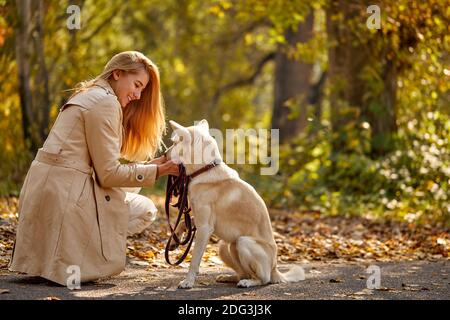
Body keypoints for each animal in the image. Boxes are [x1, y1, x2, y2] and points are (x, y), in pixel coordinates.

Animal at [167, 120, 304, 290]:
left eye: (174, 143)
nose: (164, 154)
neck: (205, 169)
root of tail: (275, 269)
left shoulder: (205, 228)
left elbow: (194, 260)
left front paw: (188, 282)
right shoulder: (200, 219)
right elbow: (183, 222)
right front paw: (174, 240)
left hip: (243, 242)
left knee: (262, 279)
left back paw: (248, 282)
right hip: (226, 246)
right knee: (243, 272)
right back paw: (229, 277)